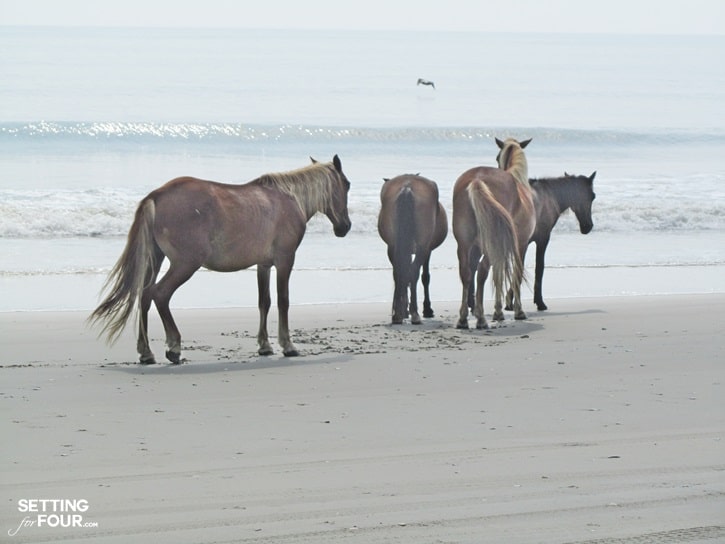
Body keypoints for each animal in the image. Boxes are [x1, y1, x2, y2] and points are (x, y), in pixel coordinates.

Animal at [88, 155, 350, 364]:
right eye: (347, 185)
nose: (345, 227)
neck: (289, 198)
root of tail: (157, 195)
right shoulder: (285, 260)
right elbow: (283, 301)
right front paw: (288, 346)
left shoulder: (263, 264)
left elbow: (263, 302)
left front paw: (264, 345)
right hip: (185, 265)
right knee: (159, 294)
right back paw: (174, 347)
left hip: (156, 259)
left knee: (144, 296)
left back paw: (146, 352)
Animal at [378, 174, 446, 324]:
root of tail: (407, 187)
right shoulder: (427, 250)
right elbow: (424, 277)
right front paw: (427, 309)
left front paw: (403, 309)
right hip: (422, 247)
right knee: (414, 272)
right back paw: (415, 313)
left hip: (393, 245)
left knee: (398, 272)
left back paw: (398, 314)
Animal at [452, 138, 536, 330]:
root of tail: (477, 180)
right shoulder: (522, 245)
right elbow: (515, 274)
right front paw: (517, 311)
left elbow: (496, 274)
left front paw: (496, 312)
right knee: (483, 270)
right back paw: (481, 319)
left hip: (464, 245)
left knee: (466, 272)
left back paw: (463, 319)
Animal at [506, 172, 596, 312]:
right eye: (592, 196)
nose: (588, 226)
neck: (548, 199)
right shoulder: (541, 239)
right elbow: (537, 268)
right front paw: (539, 302)